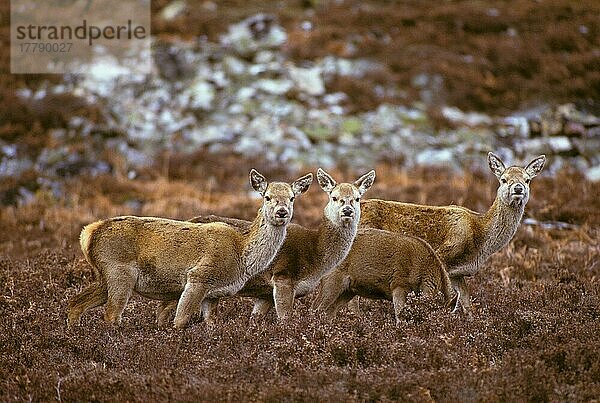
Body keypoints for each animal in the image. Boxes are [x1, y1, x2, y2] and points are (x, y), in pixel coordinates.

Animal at [68, 169, 314, 330]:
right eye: (267, 196)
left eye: (292, 198)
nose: (282, 212)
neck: (242, 257)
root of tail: (88, 234)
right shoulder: (198, 277)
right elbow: (180, 321)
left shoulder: (214, 294)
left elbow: (211, 323)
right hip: (119, 273)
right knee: (111, 316)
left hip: (104, 276)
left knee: (75, 303)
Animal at [176, 167, 376, 322]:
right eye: (334, 197)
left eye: (357, 198)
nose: (347, 210)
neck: (315, 258)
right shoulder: (283, 277)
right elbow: (285, 320)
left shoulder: (264, 295)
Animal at [312, 227, 458, 326]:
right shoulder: (399, 285)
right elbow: (399, 316)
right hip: (332, 282)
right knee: (317, 308)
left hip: (348, 291)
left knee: (330, 311)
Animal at [358, 153, 548, 318]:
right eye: (503, 179)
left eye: (527, 179)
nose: (518, 188)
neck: (480, 240)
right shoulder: (444, 256)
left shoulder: (458, 273)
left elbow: (465, 303)